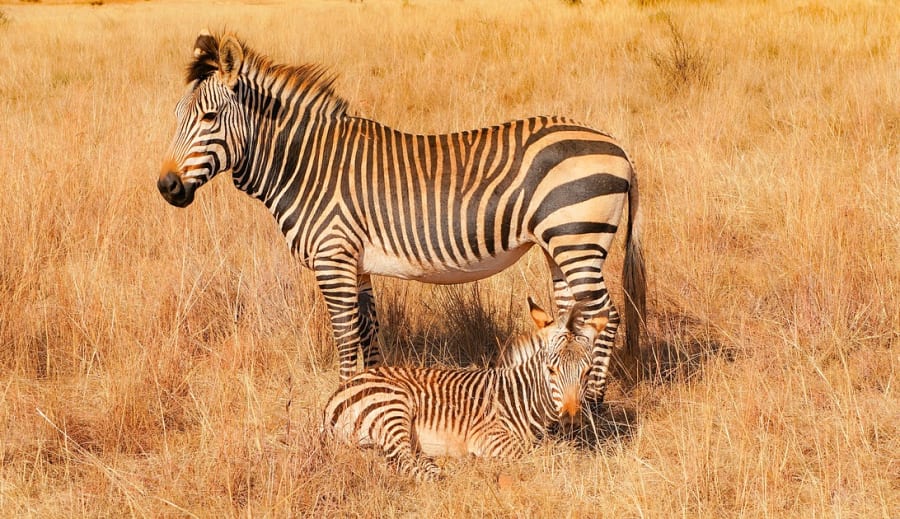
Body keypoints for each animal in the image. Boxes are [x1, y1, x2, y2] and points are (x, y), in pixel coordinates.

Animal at [158, 31, 646, 398]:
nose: (167, 187)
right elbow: (368, 333)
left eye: (209, 117)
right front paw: (367, 395)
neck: (307, 164)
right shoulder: (356, 264)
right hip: (559, 244)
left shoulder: (333, 258)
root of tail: (618, 147)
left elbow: (345, 335)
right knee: (572, 314)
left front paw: (344, 402)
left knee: (606, 314)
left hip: (577, 237)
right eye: (178, 115)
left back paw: (594, 399)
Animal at [321, 298, 608, 481]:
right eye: (551, 370)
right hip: (393, 405)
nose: (571, 421)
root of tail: (335, 396)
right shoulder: (489, 435)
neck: (521, 399)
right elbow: (543, 453)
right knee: (402, 461)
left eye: (588, 372)